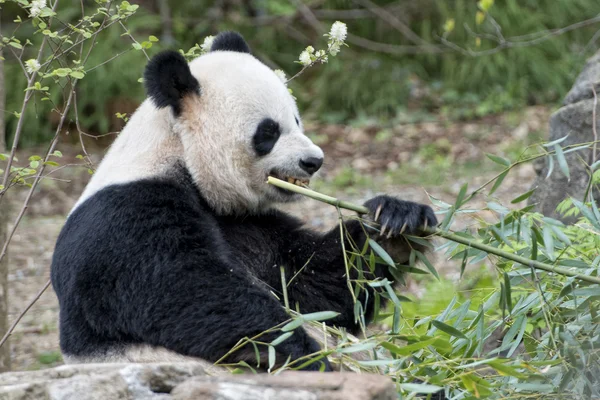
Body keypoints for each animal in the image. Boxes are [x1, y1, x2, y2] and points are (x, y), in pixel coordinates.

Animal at [51, 31, 436, 372]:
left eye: (296, 120)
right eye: (269, 131)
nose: (314, 161)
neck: (180, 156)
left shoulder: (250, 223)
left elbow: (314, 286)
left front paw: (398, 224)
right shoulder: (126, 215)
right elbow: (186, 292)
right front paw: (304, 355)